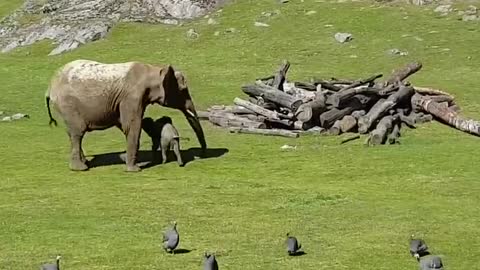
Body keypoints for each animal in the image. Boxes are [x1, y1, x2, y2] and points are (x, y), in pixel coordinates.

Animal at [45, 59, 208, 172]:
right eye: (183, 90)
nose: (203, 154)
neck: (154, 70)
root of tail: (50, 87)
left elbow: (124, 125)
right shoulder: (132, 98)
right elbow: (132, 126)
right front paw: (134, 170)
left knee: (73, 133)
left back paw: (84, 163)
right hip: (68, 105)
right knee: (77, 133)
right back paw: (81, 168)